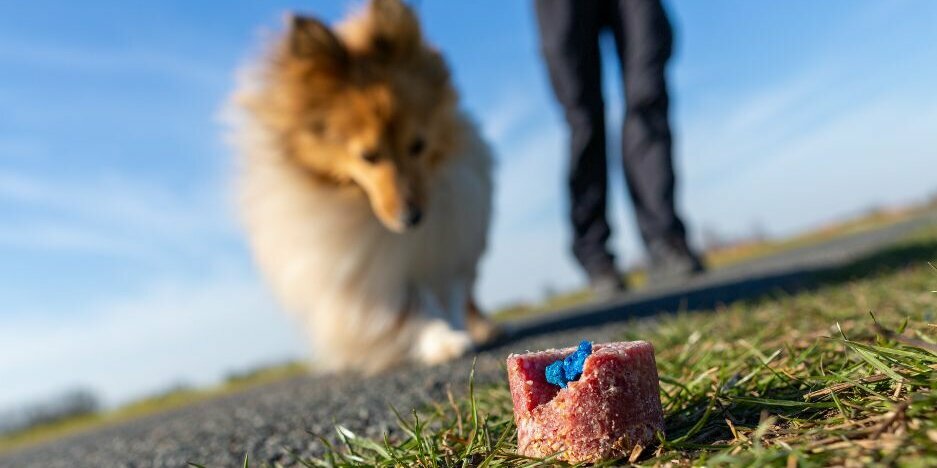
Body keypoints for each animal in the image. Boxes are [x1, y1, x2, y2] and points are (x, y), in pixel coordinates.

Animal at [229, 0, 498, 372]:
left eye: (418, 145)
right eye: (368, 156)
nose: (412, 218)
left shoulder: (450, 241)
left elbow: (451, 291)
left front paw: (459, 331)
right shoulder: (363, 273)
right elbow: (410, 307)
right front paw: (442, 342)